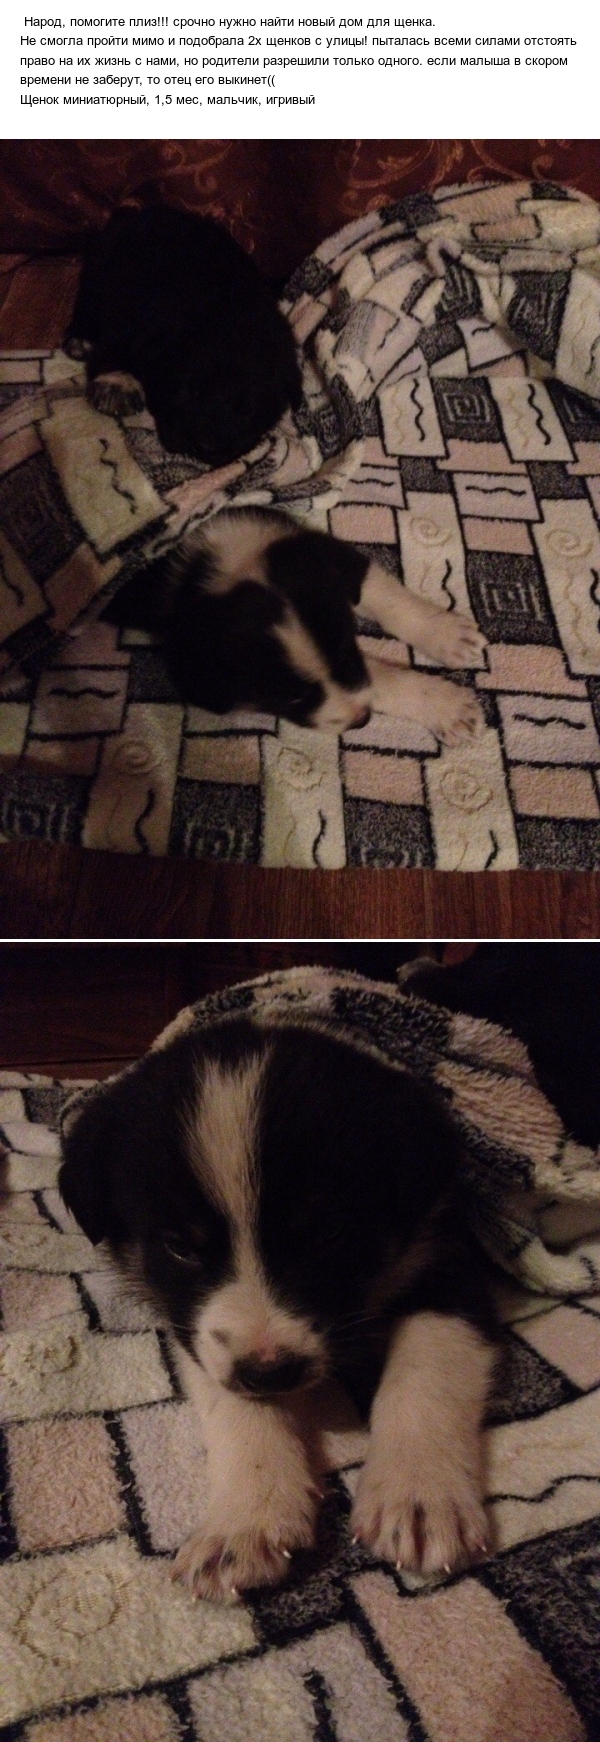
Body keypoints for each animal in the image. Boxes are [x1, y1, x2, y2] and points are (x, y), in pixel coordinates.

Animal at [59, 1012, 497, 1603]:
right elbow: (234, 1403)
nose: (271, 1372)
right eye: (179, 1247)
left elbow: (429, 1367)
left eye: (329, 1235)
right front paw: (245, 1522)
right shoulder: (192, 1325)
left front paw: (421, 1493)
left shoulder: (450, 1257)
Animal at [64, 204, 302, 464]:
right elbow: (114, 350)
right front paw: (117, 383)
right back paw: (81, 340)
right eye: (190, 391)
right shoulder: (131, 325)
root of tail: (134, 211)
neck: (229, 312)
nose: (207, 447)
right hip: (99, 273)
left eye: (246, 409)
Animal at [103, 506, 487, 741]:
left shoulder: (310, 551)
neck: (229, 564)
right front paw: (447, 707)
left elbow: (381, 594)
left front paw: (447, 636)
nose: (362, 721)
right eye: (292, 699)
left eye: (347, 652)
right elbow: (377, 677)